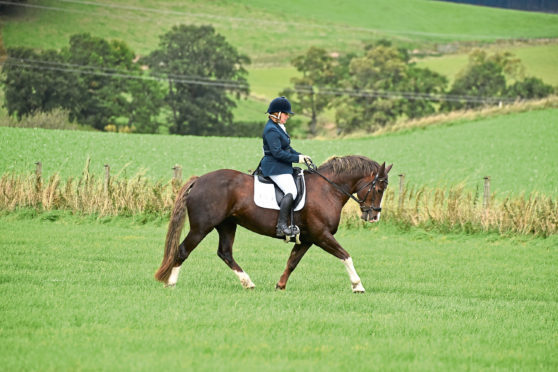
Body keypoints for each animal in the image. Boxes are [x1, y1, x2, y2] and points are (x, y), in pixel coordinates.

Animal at [155, 155, 394, 294]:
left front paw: (280, 286)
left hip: (227, 225)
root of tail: (200, 180)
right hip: (201, 227)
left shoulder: (308, 238)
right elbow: (345, 255)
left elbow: (292, 262)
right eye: (378, 188)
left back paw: (248, 283)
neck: (328, 189)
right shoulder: (322, 235)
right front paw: (358, 285)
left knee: (225, 253)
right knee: (183, 250)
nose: (374, 217)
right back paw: (171, 283)